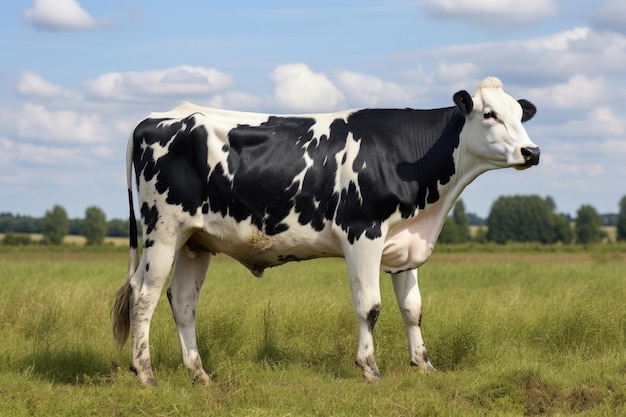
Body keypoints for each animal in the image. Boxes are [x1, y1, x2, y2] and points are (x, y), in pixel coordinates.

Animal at [111, 76, 536, 386]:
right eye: (489, 114)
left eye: (520, 115)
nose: (532, 152)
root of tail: (156, 117)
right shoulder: (362, 232)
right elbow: (370, 306)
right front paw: (370, 369)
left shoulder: (404, 242)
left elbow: (412, 309)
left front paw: (424, 365)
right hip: (163, 229)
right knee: (144, 295)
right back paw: (145, 374)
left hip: (194, 241)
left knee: (183, 301)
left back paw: (200, 375)